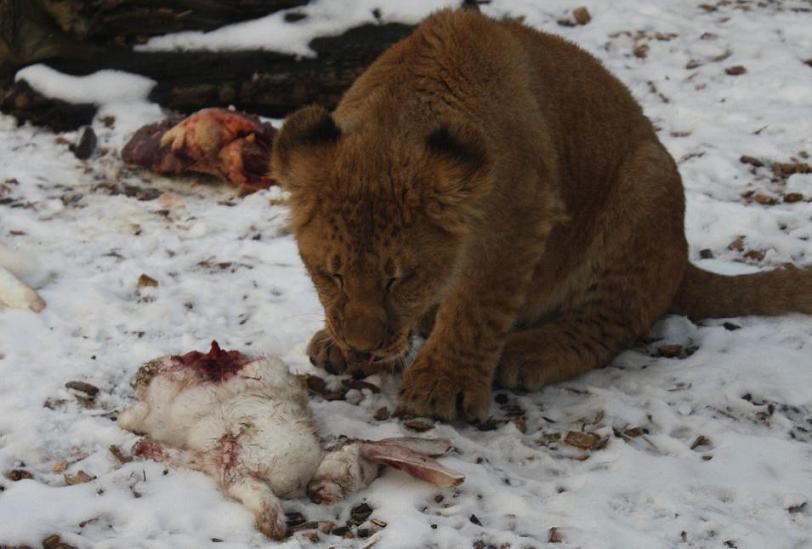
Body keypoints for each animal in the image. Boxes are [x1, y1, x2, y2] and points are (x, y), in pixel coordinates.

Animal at [117, 340, 466, 536]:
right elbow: (259, 495)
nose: (325, 497)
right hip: (162, 404)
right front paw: (273, 529)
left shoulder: (221, 463)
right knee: (136, 413)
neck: (314, 462)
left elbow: (203, 463)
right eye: (353, 471)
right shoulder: (240, 466)